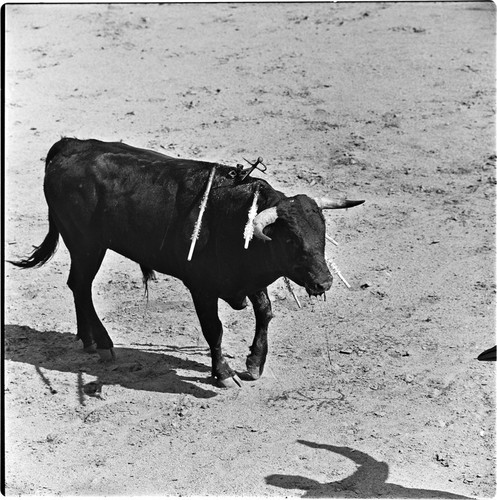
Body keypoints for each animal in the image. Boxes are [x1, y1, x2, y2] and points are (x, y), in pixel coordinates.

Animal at [9, 139, 362, 388]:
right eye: (290, 240)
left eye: (322, 233)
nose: (324, 282)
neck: (231, 218)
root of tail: (70, 144)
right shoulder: (201, 288)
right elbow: (214, 329)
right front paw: (223, 373)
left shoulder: (251, 278)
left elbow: (265, 312)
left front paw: (254, 363)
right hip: (86, 245)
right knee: (81, 285)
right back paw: (104, 344)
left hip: (84, 247)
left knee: (76, 285)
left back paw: (88, 340)